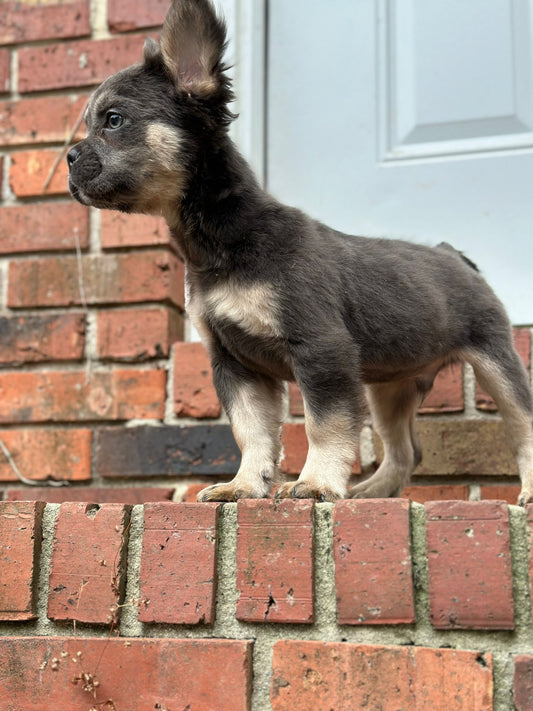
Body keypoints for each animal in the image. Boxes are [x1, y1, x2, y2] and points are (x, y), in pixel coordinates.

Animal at [66, 0, 532, 506]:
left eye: (114, 120)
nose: (68, 158)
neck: (222, 240)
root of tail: (455, 256)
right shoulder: (235, 365)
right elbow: (252, 432)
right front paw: (243, 486)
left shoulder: (321, 349)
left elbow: (324, 424)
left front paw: (316, 483)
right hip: (391, 386)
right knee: (405, 450)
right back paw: (372, 493)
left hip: (496, 361)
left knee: (522, 426)